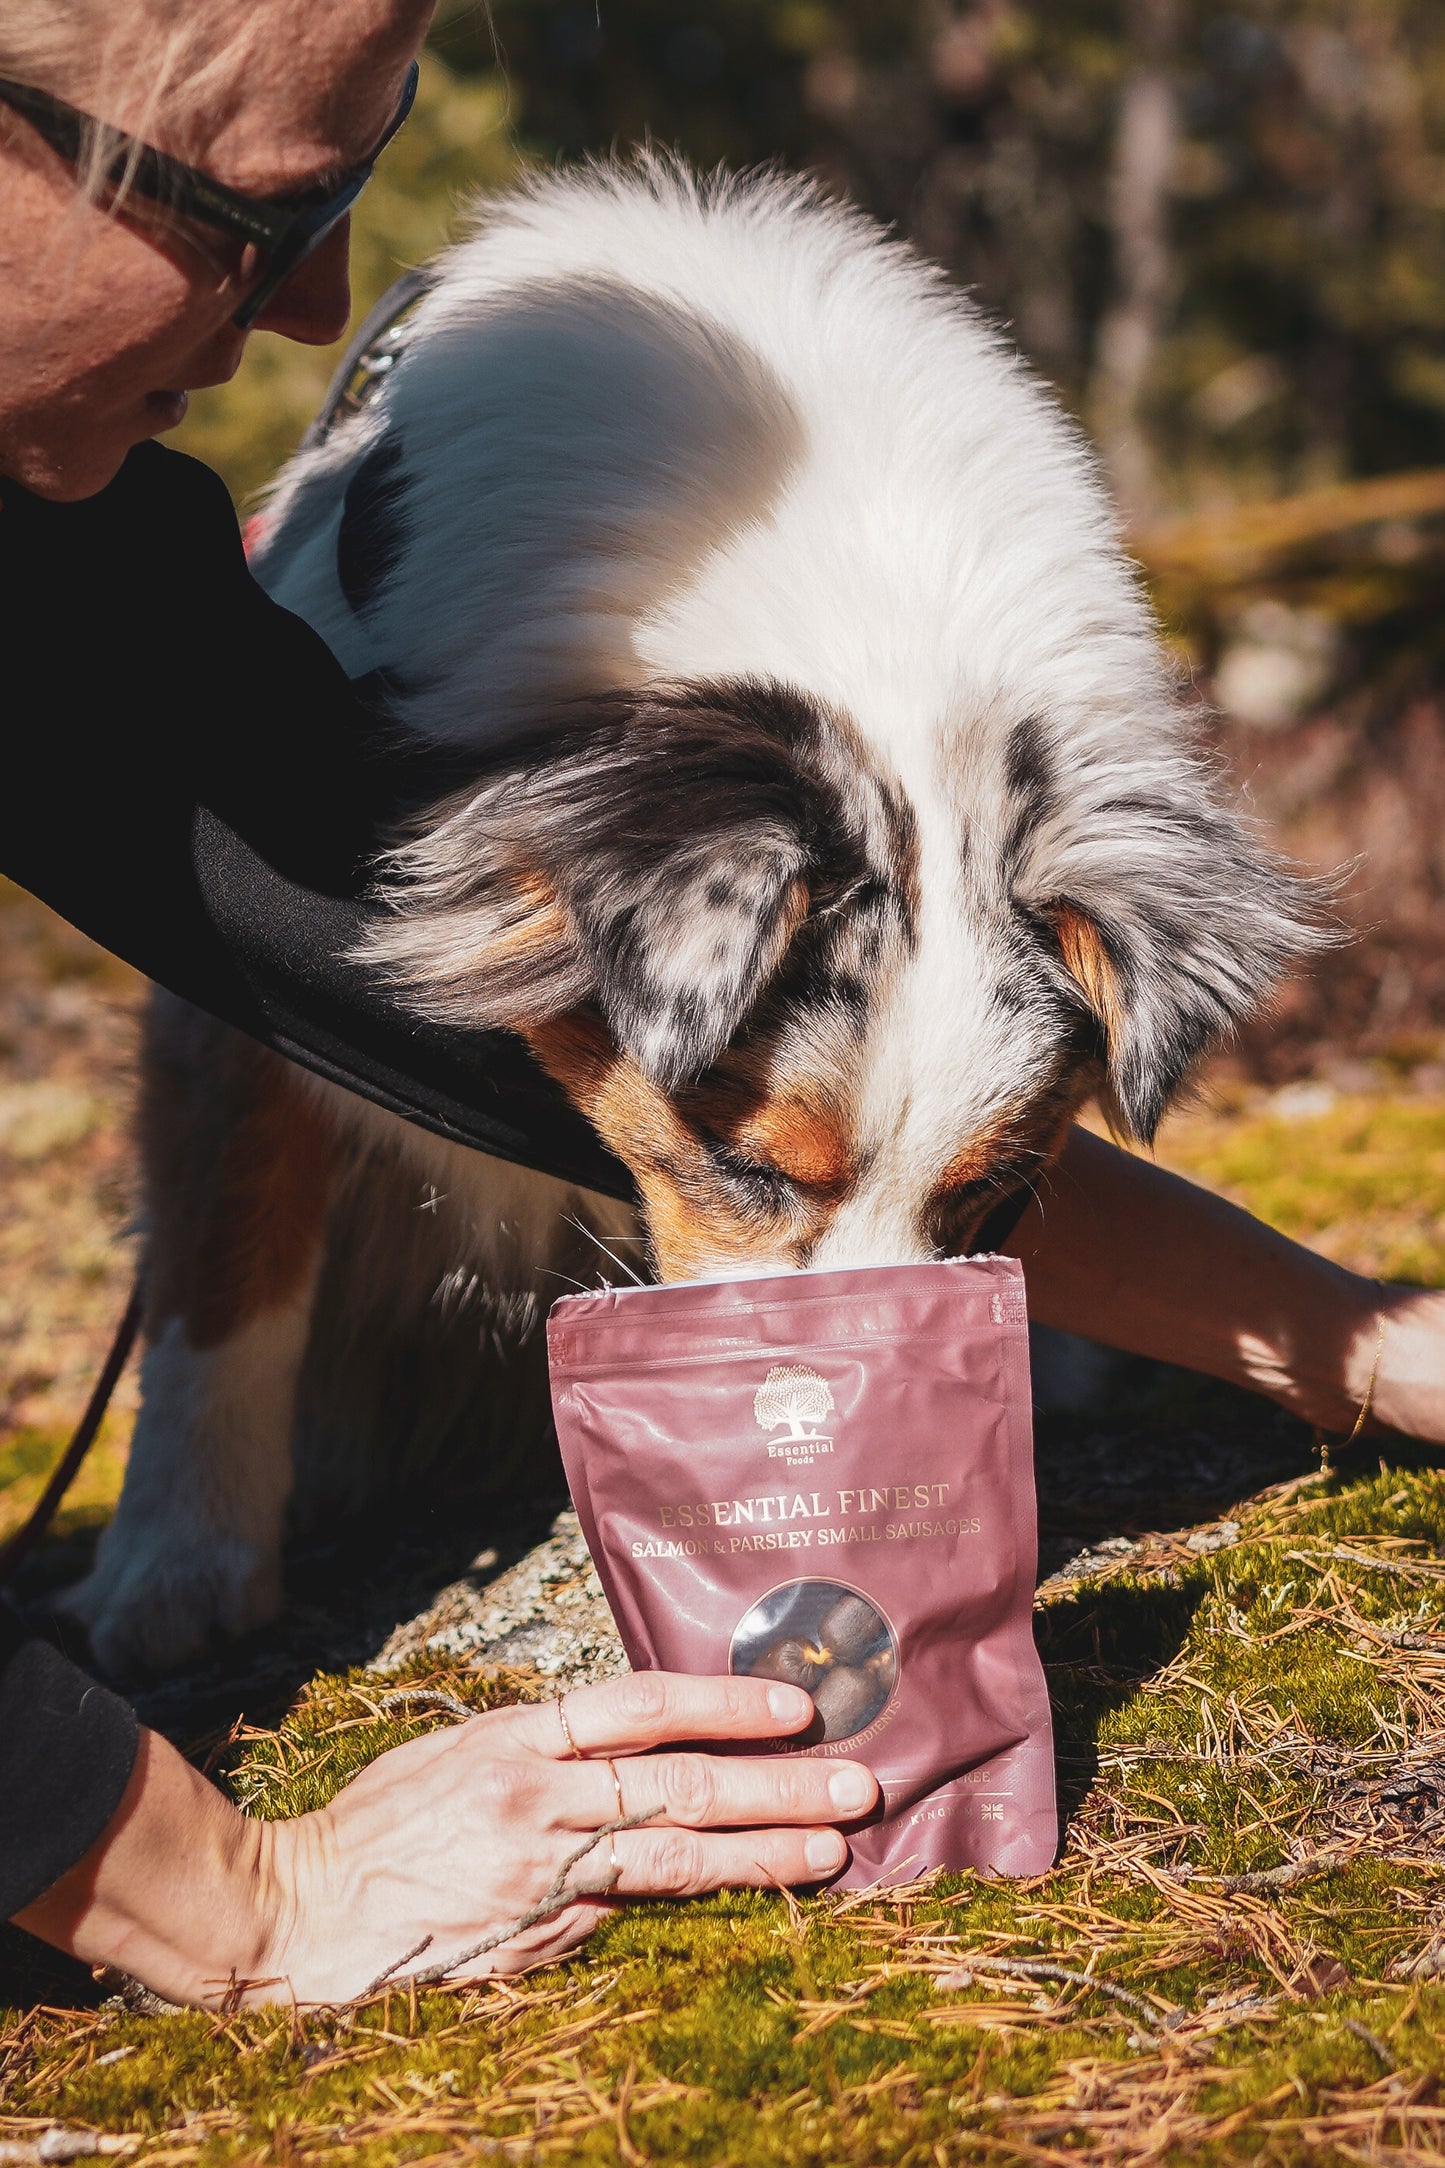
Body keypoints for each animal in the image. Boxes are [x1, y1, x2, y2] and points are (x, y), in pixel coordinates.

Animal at [62, 164, 1317, 1673]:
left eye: (994, 1195)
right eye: (746, 1165)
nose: (852, 1460)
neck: (846, 579)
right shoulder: (236, 977)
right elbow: (225, 1267)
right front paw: (177, 1566)